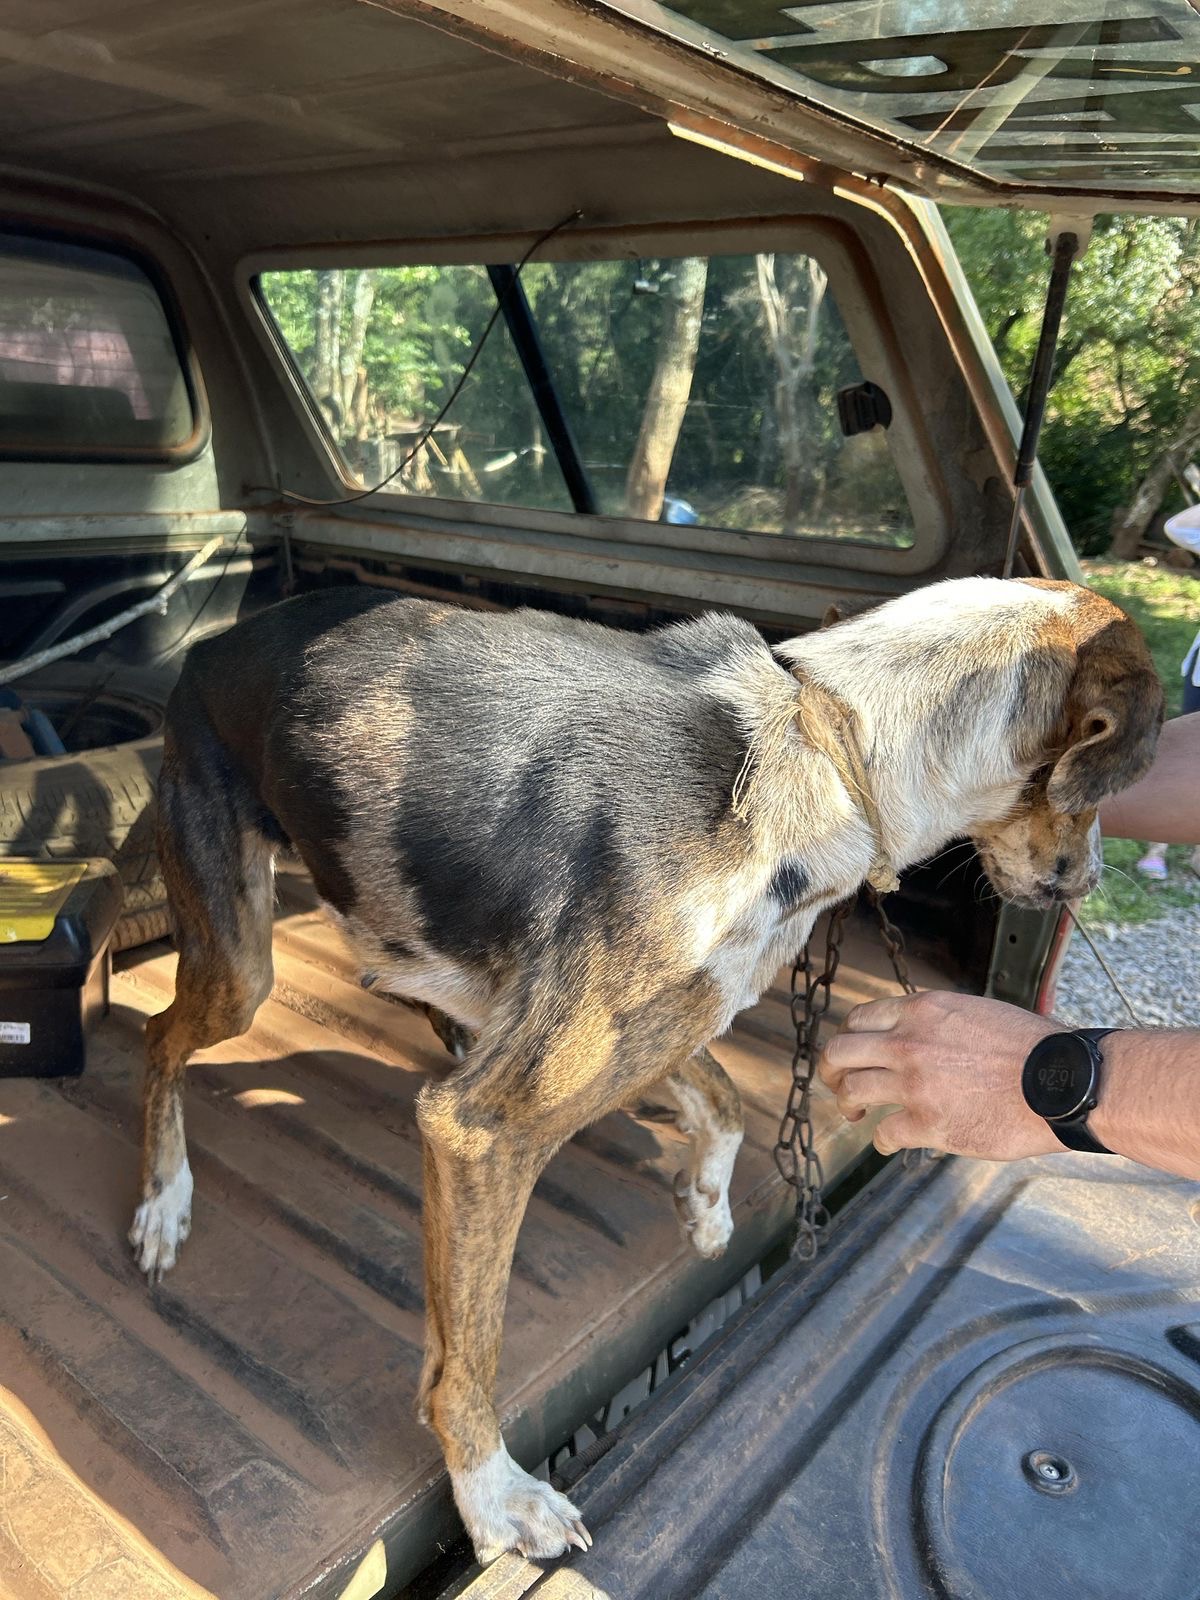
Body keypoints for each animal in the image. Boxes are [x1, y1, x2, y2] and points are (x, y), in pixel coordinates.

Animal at [129, 576, 1164, 1561]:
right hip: (241, 966)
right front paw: (493, 1497)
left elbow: (726, 1100)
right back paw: (163, 1200)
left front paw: (705, 1206)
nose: (1091, 880)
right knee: (155, 1037)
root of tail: (206, 649)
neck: (826, 745)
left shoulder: (663, 1016)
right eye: (1104, 796)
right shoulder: (481, 1130)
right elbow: (466, 1358)